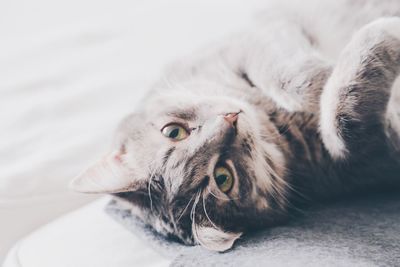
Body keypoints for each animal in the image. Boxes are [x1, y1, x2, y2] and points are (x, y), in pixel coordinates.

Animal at [70, 0, 398, 253]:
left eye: (173, 132)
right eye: (223, 177)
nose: (231, 120)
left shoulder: (252, 42)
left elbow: (300, 80)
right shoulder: (367, 157)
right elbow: (346, 125)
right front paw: (381, 35)